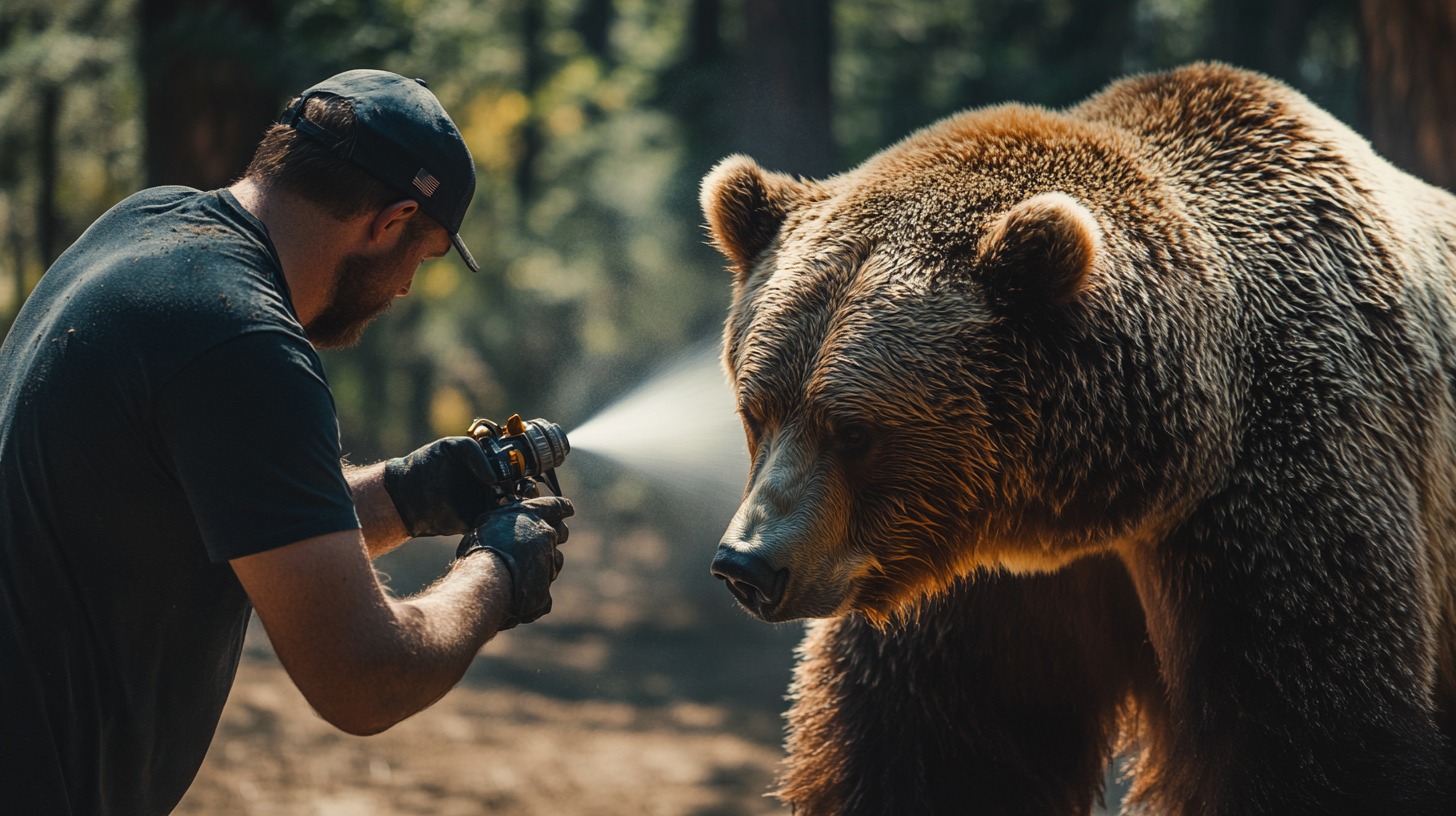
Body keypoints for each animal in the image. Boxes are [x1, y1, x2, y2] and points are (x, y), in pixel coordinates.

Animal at [698, 65, 1450, 816]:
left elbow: (1317, 742)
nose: (748, 565)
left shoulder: (1281, 500)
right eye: (757, 410)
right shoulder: (975, 588)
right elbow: (930, 750)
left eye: (854, 430)